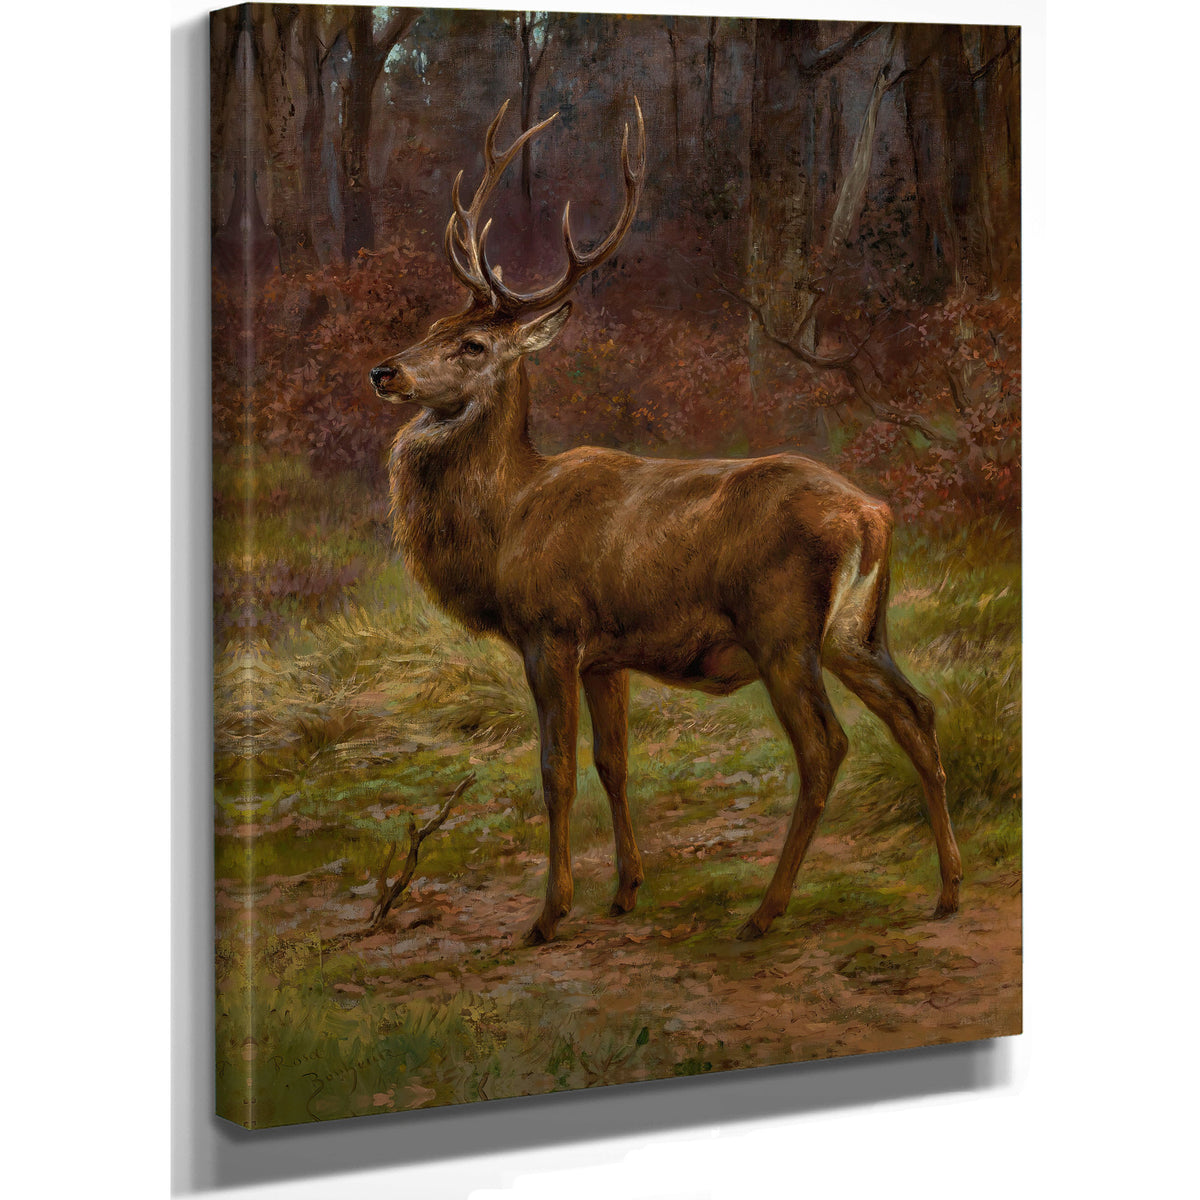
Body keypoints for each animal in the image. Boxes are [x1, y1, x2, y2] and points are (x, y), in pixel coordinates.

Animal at [369, 100, 962, 945]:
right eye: (432, 323)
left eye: (473, 343)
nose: (384, 371)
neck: (506, 523)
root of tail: (871, 512)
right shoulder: (605, 655)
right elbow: (613, 763)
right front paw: (625, 890)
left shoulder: (550, 629)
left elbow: (555, 770)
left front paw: (549, 913)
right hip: (858, 629)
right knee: (918, 712)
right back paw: (947, 890)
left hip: (781, 626)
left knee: (825, 747)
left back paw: (764, 911)